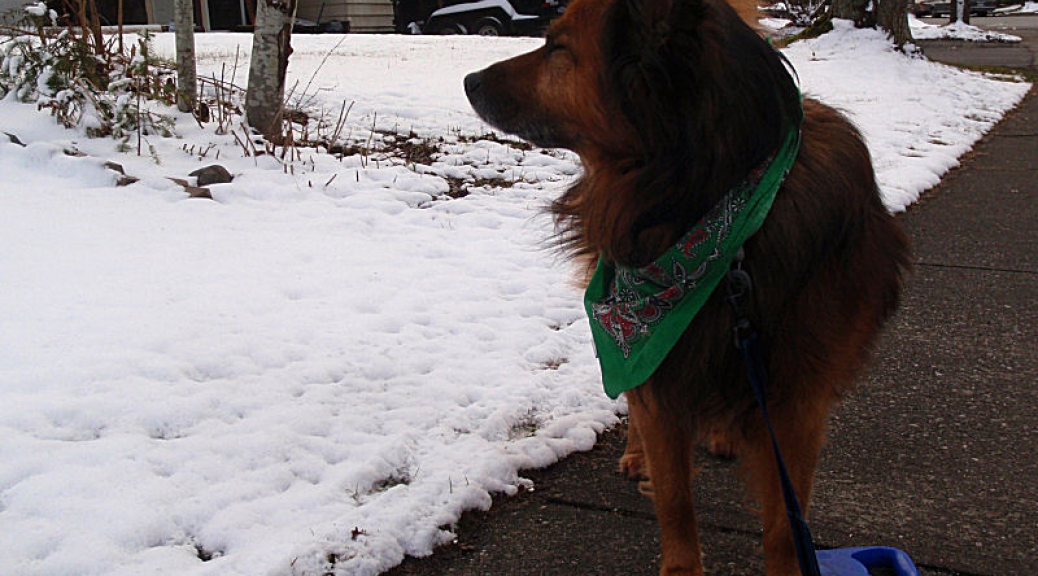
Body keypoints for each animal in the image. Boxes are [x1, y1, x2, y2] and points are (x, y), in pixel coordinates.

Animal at [462, 0, 909, 572]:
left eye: (558, 48)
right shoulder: (658, 366)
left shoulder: (797, 403)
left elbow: (787, 525)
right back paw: (637, 453)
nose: (469, 80)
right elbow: (674, 495)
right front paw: (679, 562)